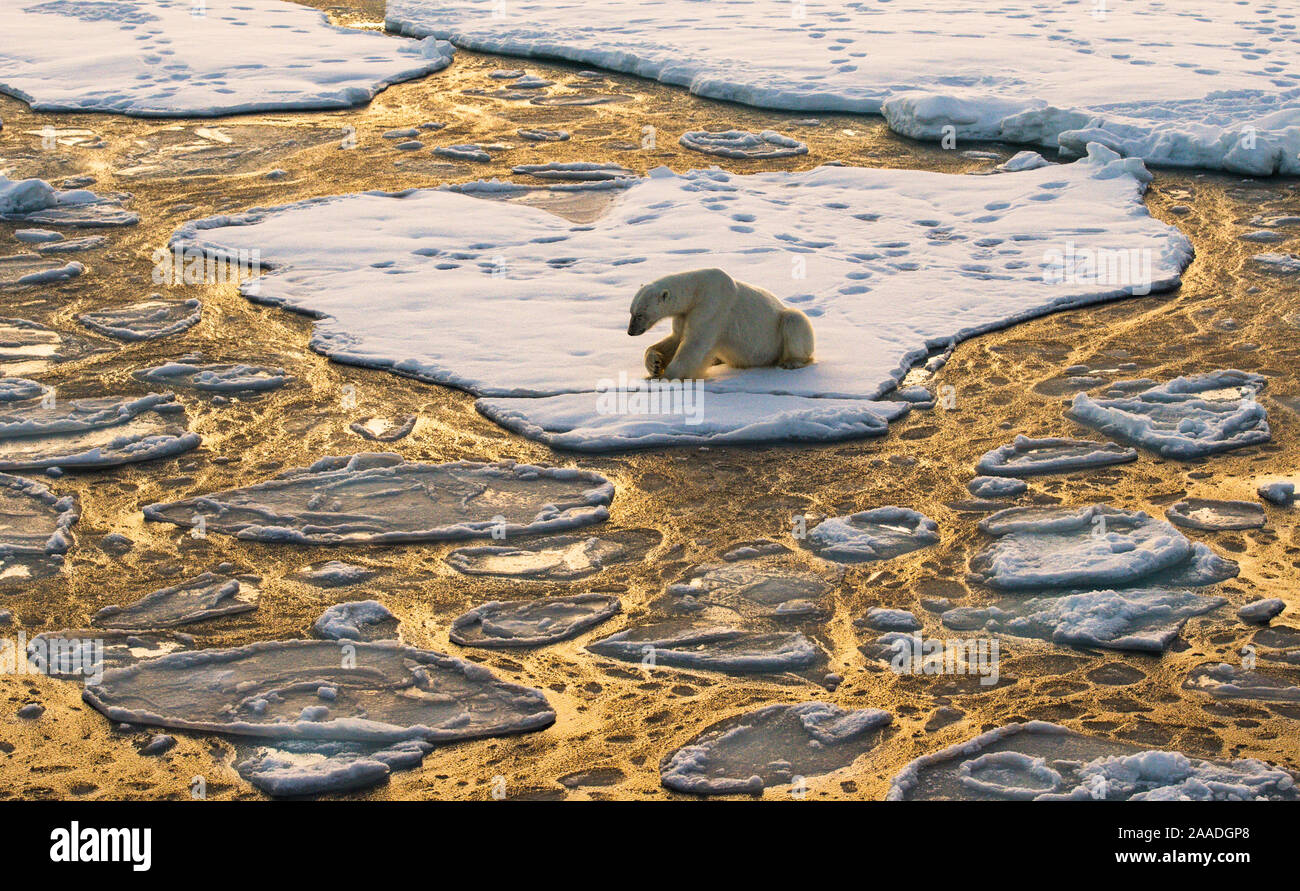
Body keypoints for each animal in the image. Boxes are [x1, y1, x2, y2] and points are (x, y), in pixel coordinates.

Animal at [626, 264, 811, 374]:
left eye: (639, 314)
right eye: (631, 312)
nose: (630, 332)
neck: (696, 290)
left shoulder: (713, 305)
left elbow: (695, 343)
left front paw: (669, 378)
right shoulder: (684, 314)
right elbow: (676, 337)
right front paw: (655, 364)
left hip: (780, 330)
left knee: (794, 320)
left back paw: (791, 362)